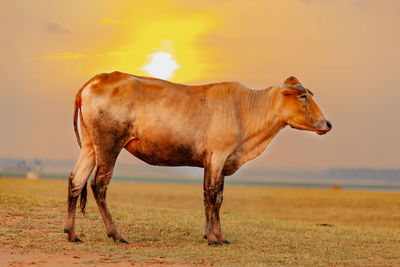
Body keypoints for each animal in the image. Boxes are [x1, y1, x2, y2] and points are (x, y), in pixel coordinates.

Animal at [62, 72, 332, 246]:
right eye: (303, 96)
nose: (327, 123)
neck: (245, 110)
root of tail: (99, 78)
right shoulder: (217, 156)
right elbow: (211, 197)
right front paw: (212, 239)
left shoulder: (218, 162)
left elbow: (214, 198)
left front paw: (218, 236)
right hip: (109, 145)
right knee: (99, 184)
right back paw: (116, 234)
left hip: (90, 146)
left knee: (76, 180)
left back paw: (72, 233)